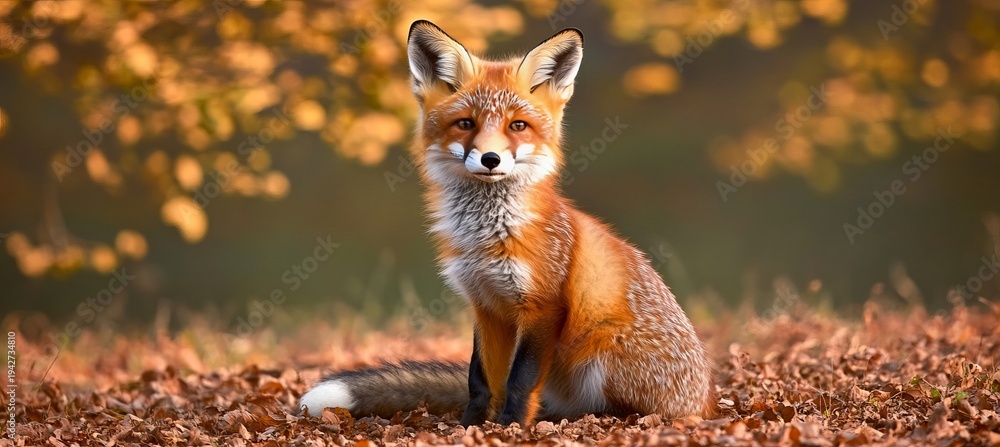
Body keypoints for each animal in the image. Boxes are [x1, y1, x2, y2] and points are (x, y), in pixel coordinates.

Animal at [299, 20, 716, 426]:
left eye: (517, 126)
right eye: (465, 123)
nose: (490, 159)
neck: (487, 235)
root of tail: (705, 402)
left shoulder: (542, 307)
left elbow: (520, 377)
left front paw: (510, 425)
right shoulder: (486, 305)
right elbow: (480, 377)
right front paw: (470, 426)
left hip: (604, 353)